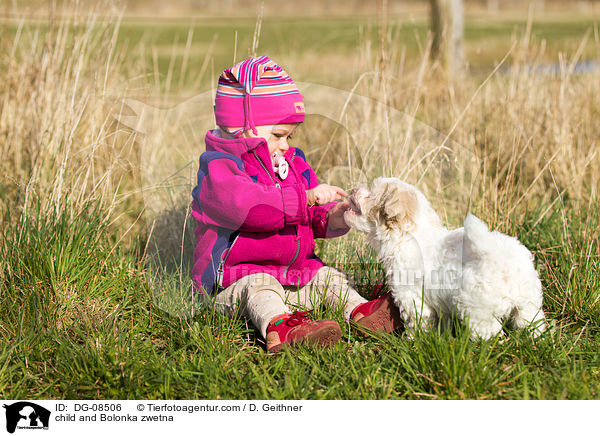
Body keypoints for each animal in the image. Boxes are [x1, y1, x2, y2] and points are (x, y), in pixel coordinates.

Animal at [344, 177, 548, 340]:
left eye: (371, 194)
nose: (353, 190)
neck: (408, 234)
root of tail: (499, 258)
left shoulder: (411, 297)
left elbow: (416, 321)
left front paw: (411, 341)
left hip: (477, 309)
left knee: (489, 332)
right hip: (529, 303)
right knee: (531, 323)